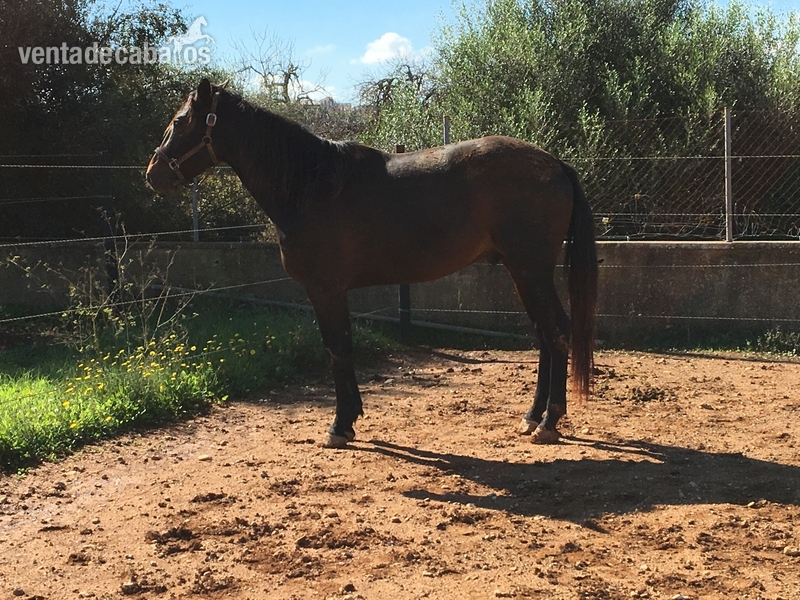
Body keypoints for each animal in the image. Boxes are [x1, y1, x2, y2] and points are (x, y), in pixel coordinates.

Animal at [146, 79, 598, 449]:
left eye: (180, 121)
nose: (153, 174)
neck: (311, 187)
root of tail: (556, 164)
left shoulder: (325, 289)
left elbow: (337, 349)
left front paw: (340, 425)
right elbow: (341, 348)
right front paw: (349, 420)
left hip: (530, 271)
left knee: (557, 332)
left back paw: (549, 422)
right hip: (522, 272)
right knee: (544, 336)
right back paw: (532, 417)